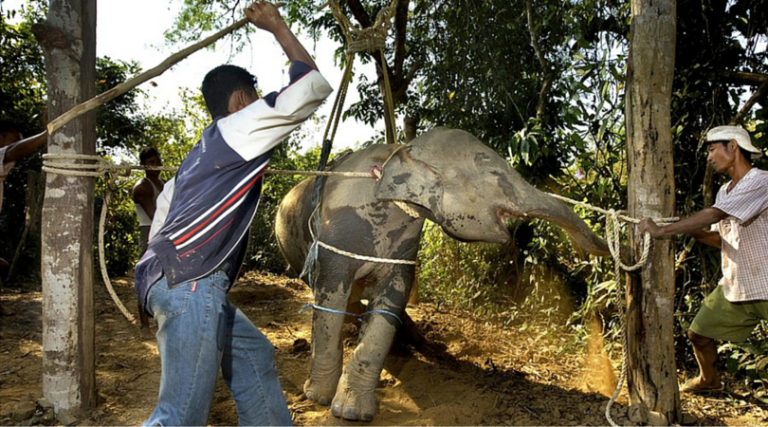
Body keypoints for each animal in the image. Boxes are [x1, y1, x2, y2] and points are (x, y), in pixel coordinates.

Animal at [275, 127, 610, 421]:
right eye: (494, 174)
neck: (399, 151)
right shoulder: (336, 234)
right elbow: (329, 297)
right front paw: (318, 397)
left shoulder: (405, 246)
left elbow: (392, 301)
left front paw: (354, 412)